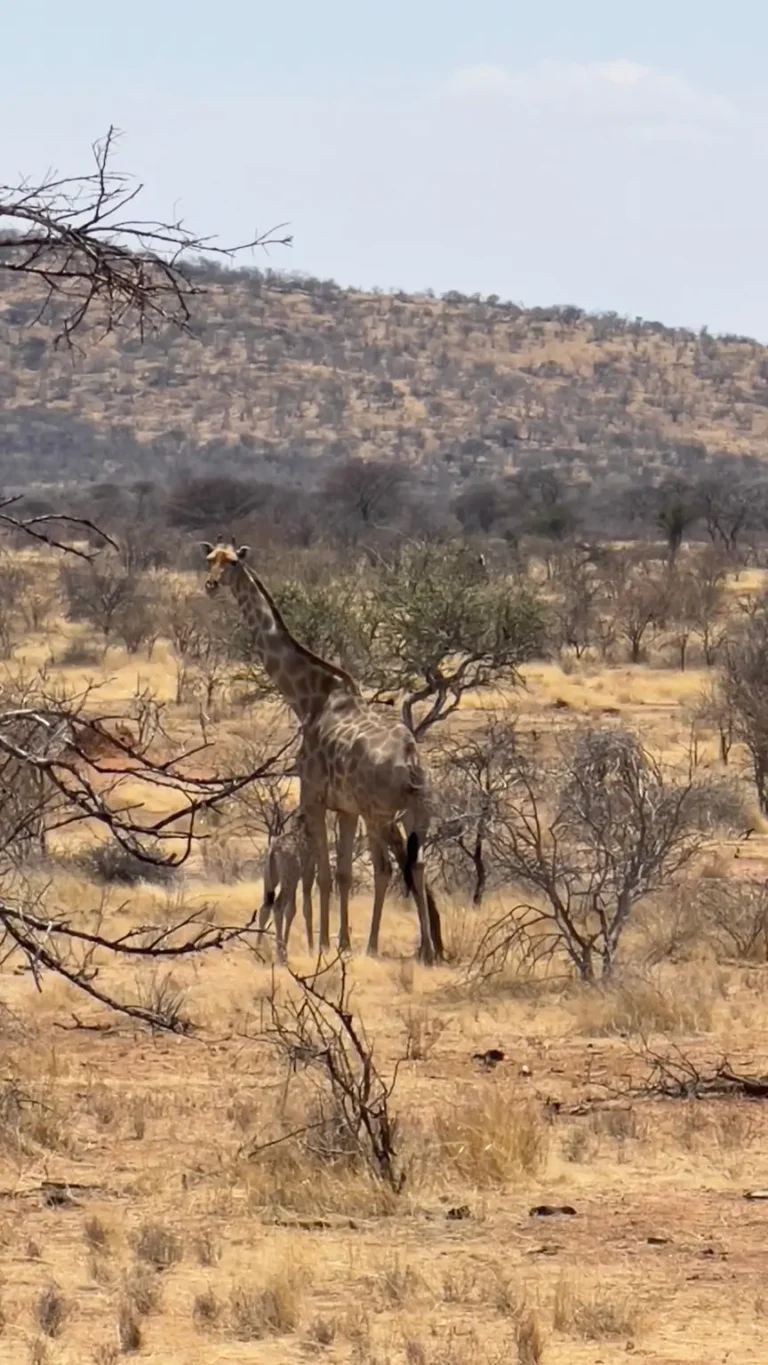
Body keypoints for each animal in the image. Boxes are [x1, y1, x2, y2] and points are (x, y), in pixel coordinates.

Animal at [257, 807, 316, 962]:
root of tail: (273, 851)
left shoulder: (296, 878)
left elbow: (291, 911)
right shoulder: (308, 873)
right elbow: (307, 909)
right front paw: (312, 951)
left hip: (270, 878)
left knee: (265, 907)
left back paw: (257, 951)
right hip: (287, 878)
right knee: (277, 906)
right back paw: (280, 956)